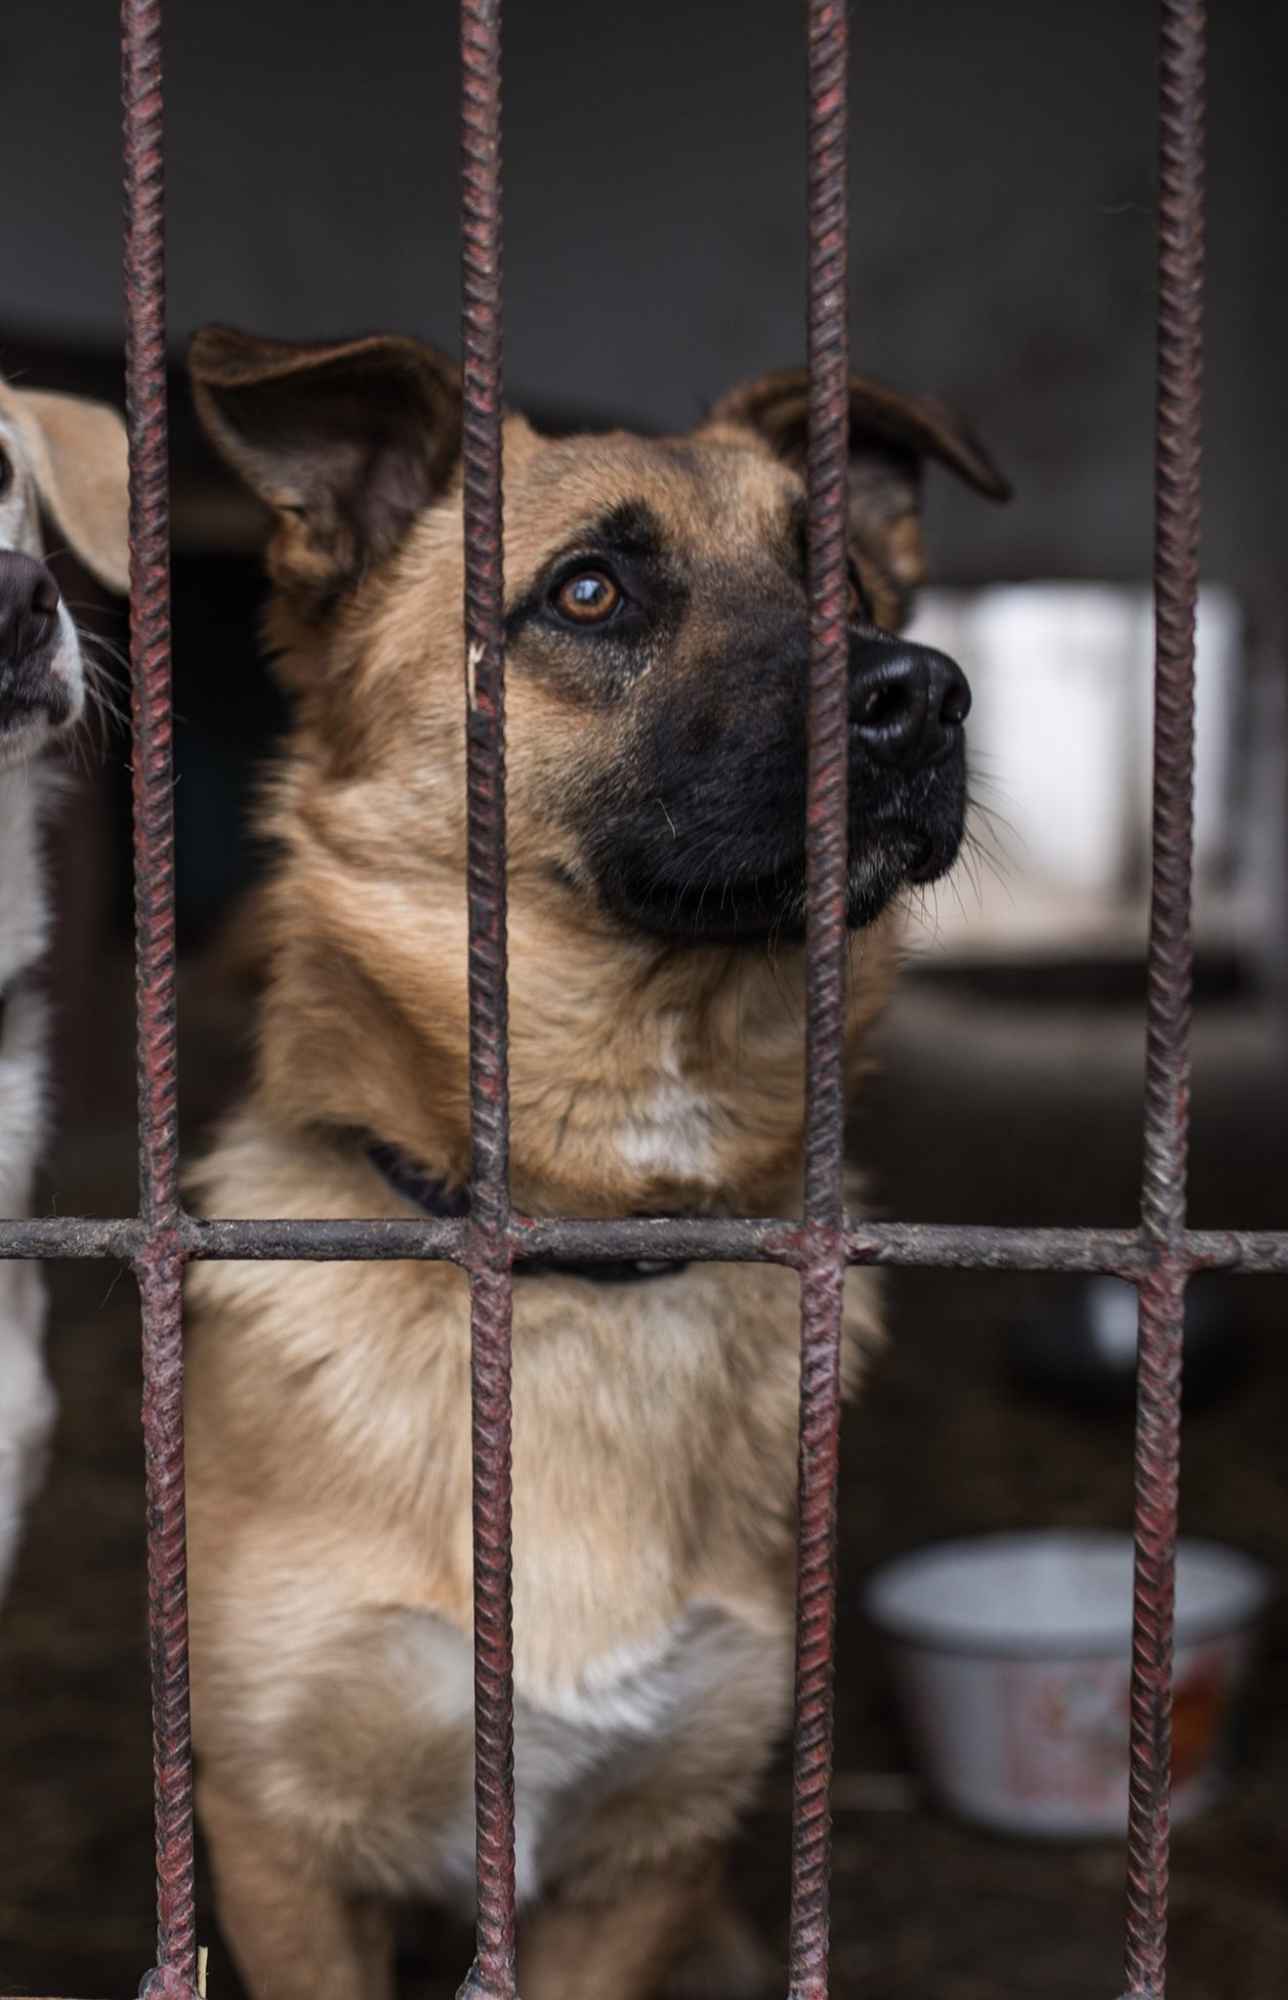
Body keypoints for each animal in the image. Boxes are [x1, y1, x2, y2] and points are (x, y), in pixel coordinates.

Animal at [184, 328, 1008, 2000]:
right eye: (587, 593)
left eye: (851, 586)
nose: (926, 691)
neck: (591, 1254)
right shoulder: (281, 1848)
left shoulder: (650, 1861)